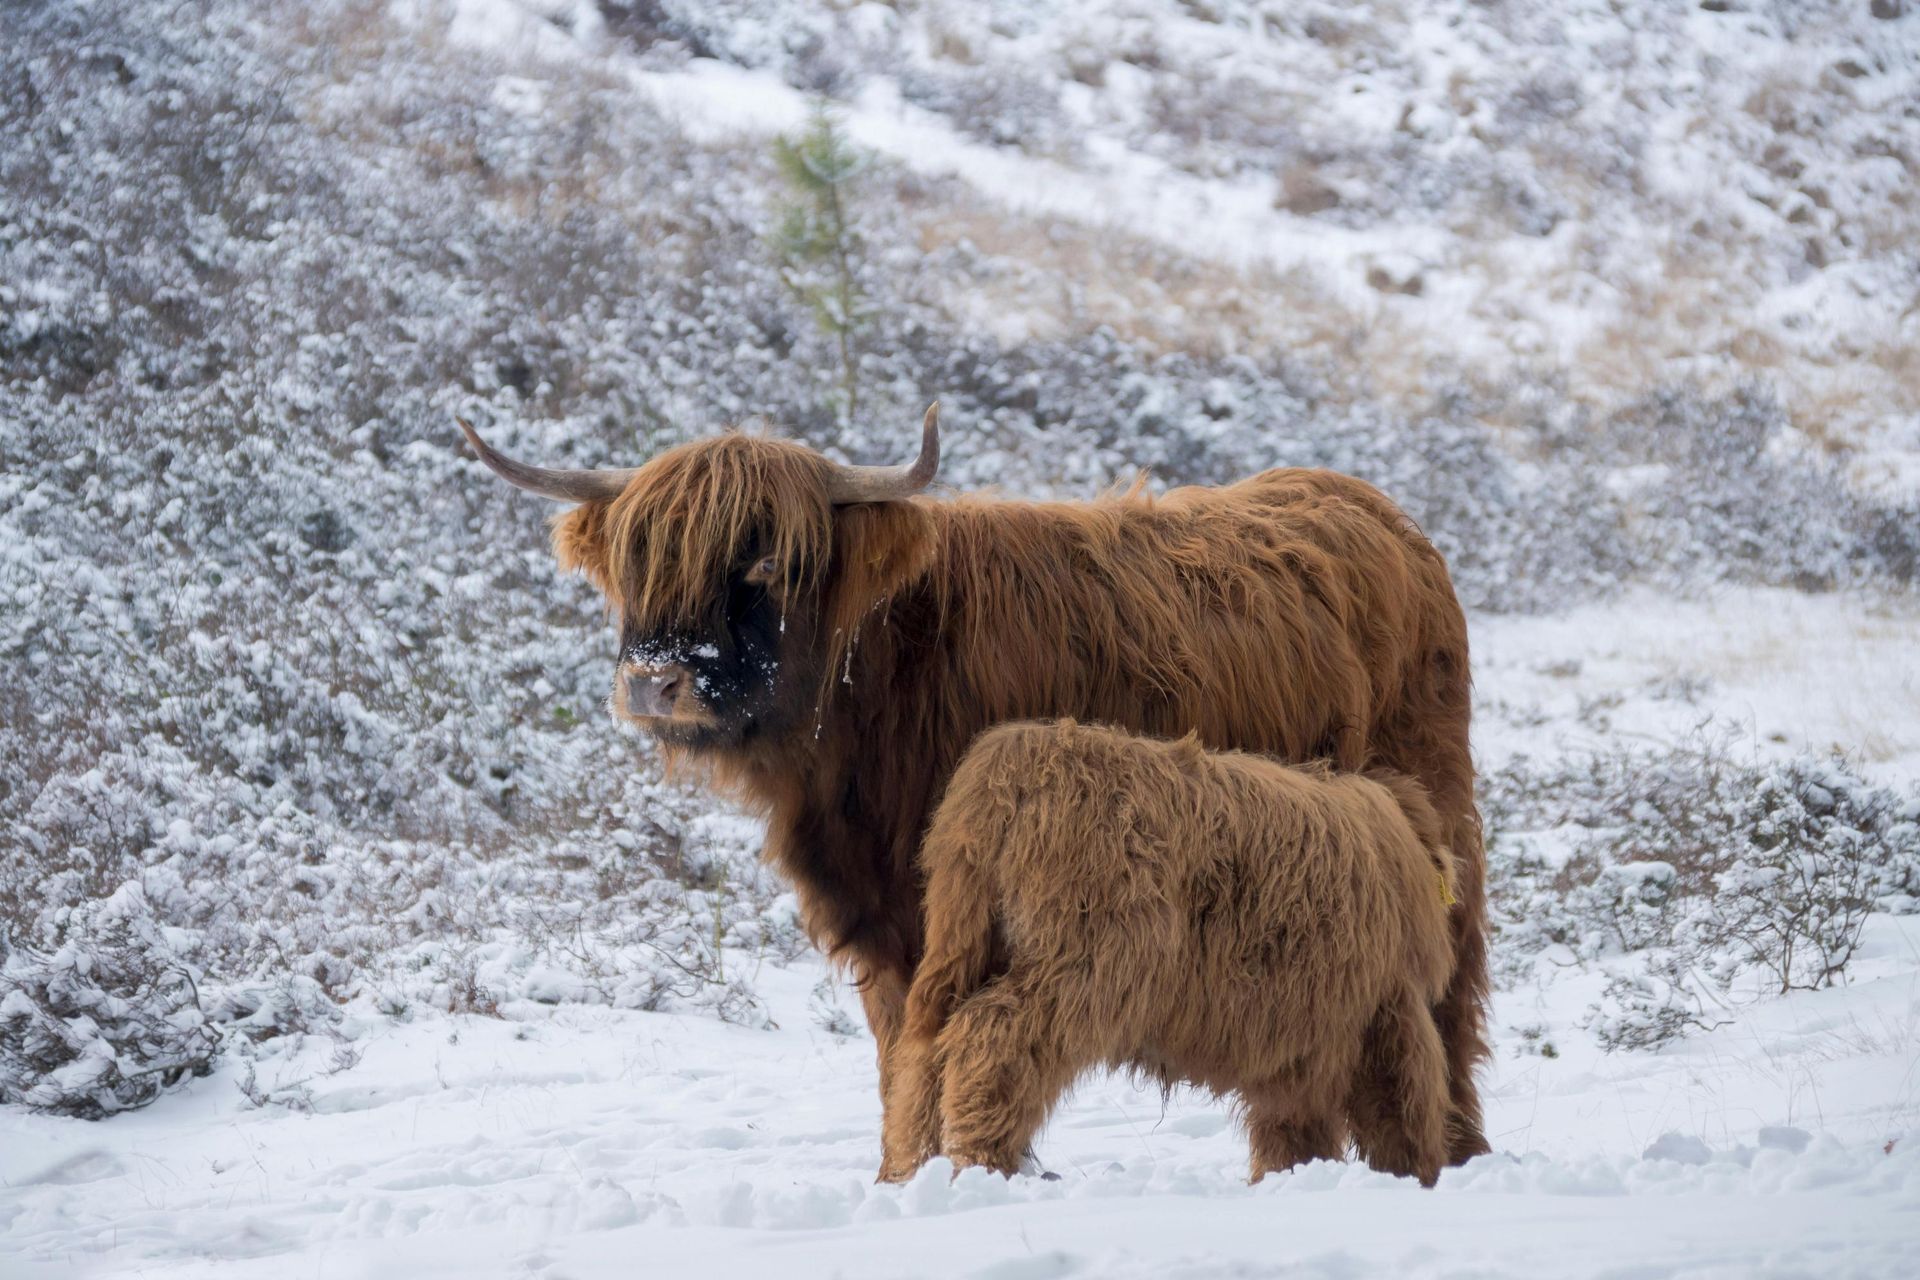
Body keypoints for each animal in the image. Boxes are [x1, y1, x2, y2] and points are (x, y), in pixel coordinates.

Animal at [878, 720, 1457, 1187]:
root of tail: (1013, 762)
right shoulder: (1385, 1009)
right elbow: (1404, 1103)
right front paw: (1415, 1177)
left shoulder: (1299, 1042)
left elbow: (1293, 1128)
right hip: (1083, 970)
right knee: (991, 1036)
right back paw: (984, 1161)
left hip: (962, 945)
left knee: (923, 1048)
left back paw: (915, 1167)